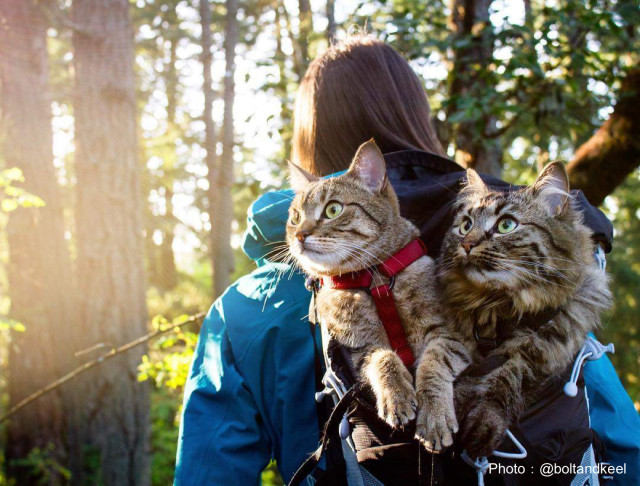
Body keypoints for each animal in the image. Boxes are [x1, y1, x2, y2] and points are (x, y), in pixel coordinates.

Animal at [284, 140, 470, 452]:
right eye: (295, 217)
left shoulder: (451, 334)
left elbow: (433, 366)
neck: (374, 278)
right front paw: (395, 395)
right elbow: (383, 358)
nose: (299, 235)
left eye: (333, 209)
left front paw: (434, 416)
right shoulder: (359, 349)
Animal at [438, 164, 612, 460]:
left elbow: (509, 376)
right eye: (465, 226)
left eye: (506, 225)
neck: (497, 308)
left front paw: (484, 421)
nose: (467, 244)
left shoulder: (542, 348)